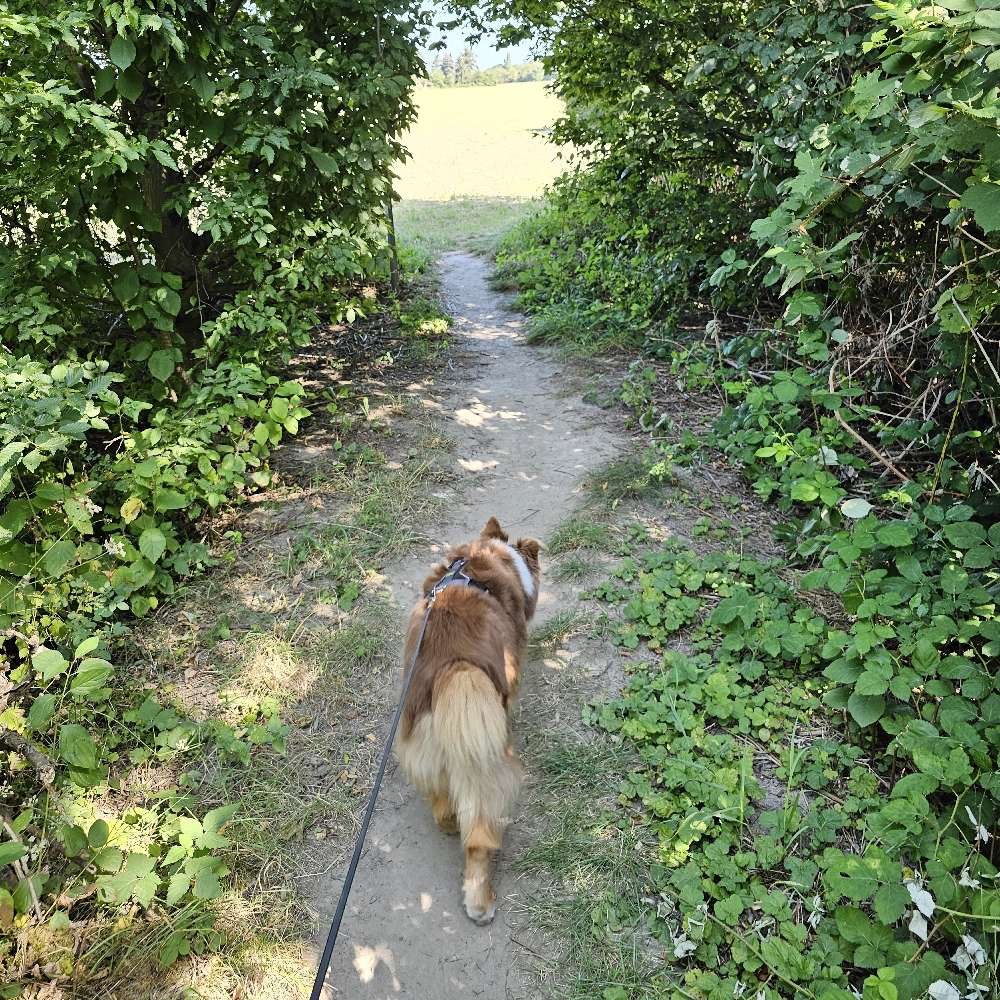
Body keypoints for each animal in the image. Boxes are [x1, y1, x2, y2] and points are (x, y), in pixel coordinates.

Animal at [394, 520, 544, 924]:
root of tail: (453, 667)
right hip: (487, 774)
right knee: (477, 839)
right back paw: (480, 903)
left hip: (425, 750)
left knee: (442, 801)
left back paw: (447, 825)